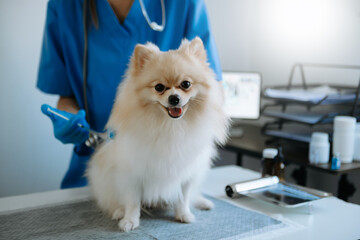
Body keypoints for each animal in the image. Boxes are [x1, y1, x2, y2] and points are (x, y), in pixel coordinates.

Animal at [86, 38, 229, 232]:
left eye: (186, 84)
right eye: (159, 87)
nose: (174, 98)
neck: (171, 126)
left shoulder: (187, 171)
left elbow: (183, 196)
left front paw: (183, 214)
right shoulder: (131, 172)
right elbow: (132, 201)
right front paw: (130, 220)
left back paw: (202, 202)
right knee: (113, 200)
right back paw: (118, 211)